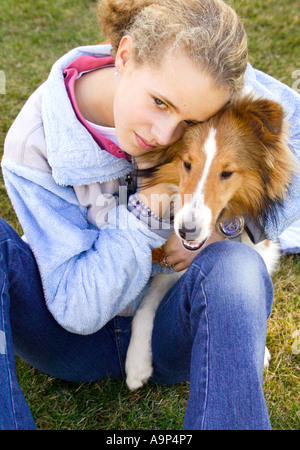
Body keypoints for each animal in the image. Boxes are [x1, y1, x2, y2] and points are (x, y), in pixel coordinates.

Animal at [125, 94, 298, 390]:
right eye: (187, 164)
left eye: (227, 173)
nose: (187, 231)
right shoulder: (168, 266)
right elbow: (146, 305)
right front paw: (136, 364)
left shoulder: (259, 248)